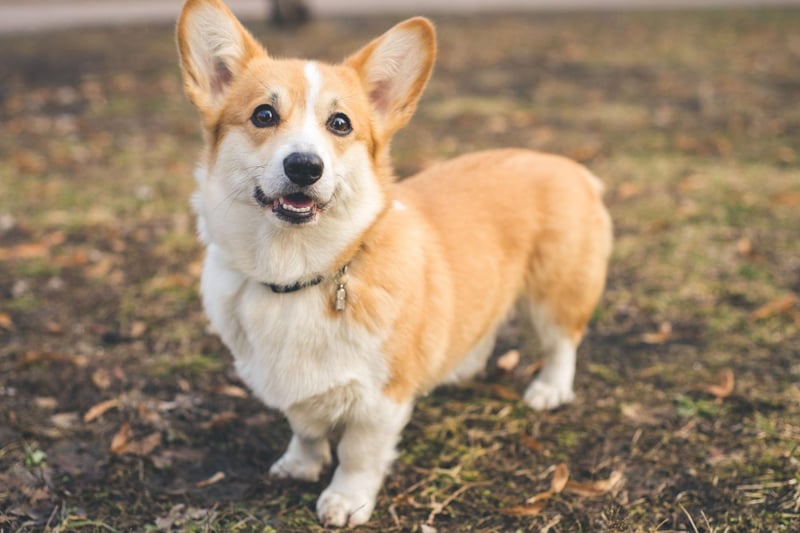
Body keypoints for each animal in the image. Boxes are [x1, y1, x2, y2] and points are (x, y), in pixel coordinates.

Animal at [177, 0, 612, 524]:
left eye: (340, 123)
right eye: (264, 114)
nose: (304, 167)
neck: (297, 273)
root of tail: (571, 166)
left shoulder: (379, 401)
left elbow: (358, 454)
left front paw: (345, 501)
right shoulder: (295, 390)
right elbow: (305, 428)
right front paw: (300, 465)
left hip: (555, 292)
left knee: (562, 342)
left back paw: (550, 389)